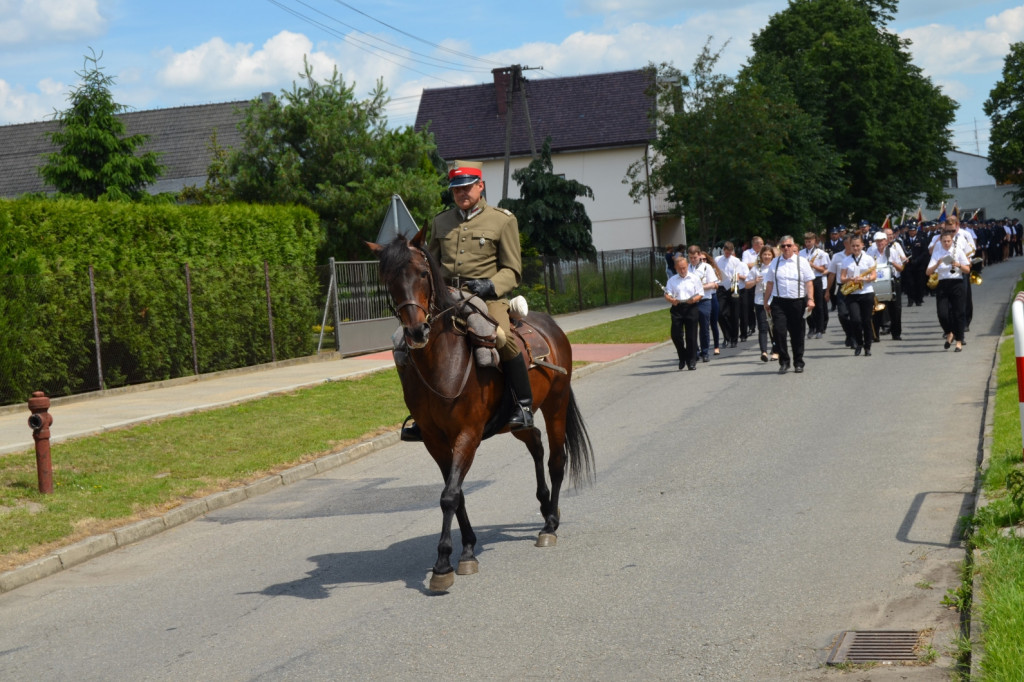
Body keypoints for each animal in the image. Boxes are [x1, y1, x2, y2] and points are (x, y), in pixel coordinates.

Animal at [366, 229, 593, 589]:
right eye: (387, 278)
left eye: (423, 273)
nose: (416, 331)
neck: (441, 363)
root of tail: (550, 325)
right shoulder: (434, 440)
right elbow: (456, 492)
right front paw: (468, 549)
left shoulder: (467, 435)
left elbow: (449, 494)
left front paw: (443, 564)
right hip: (515, 422)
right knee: (535, 443)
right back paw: (545, 508)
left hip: (556, 405)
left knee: (557, 460)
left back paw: (549, 525)